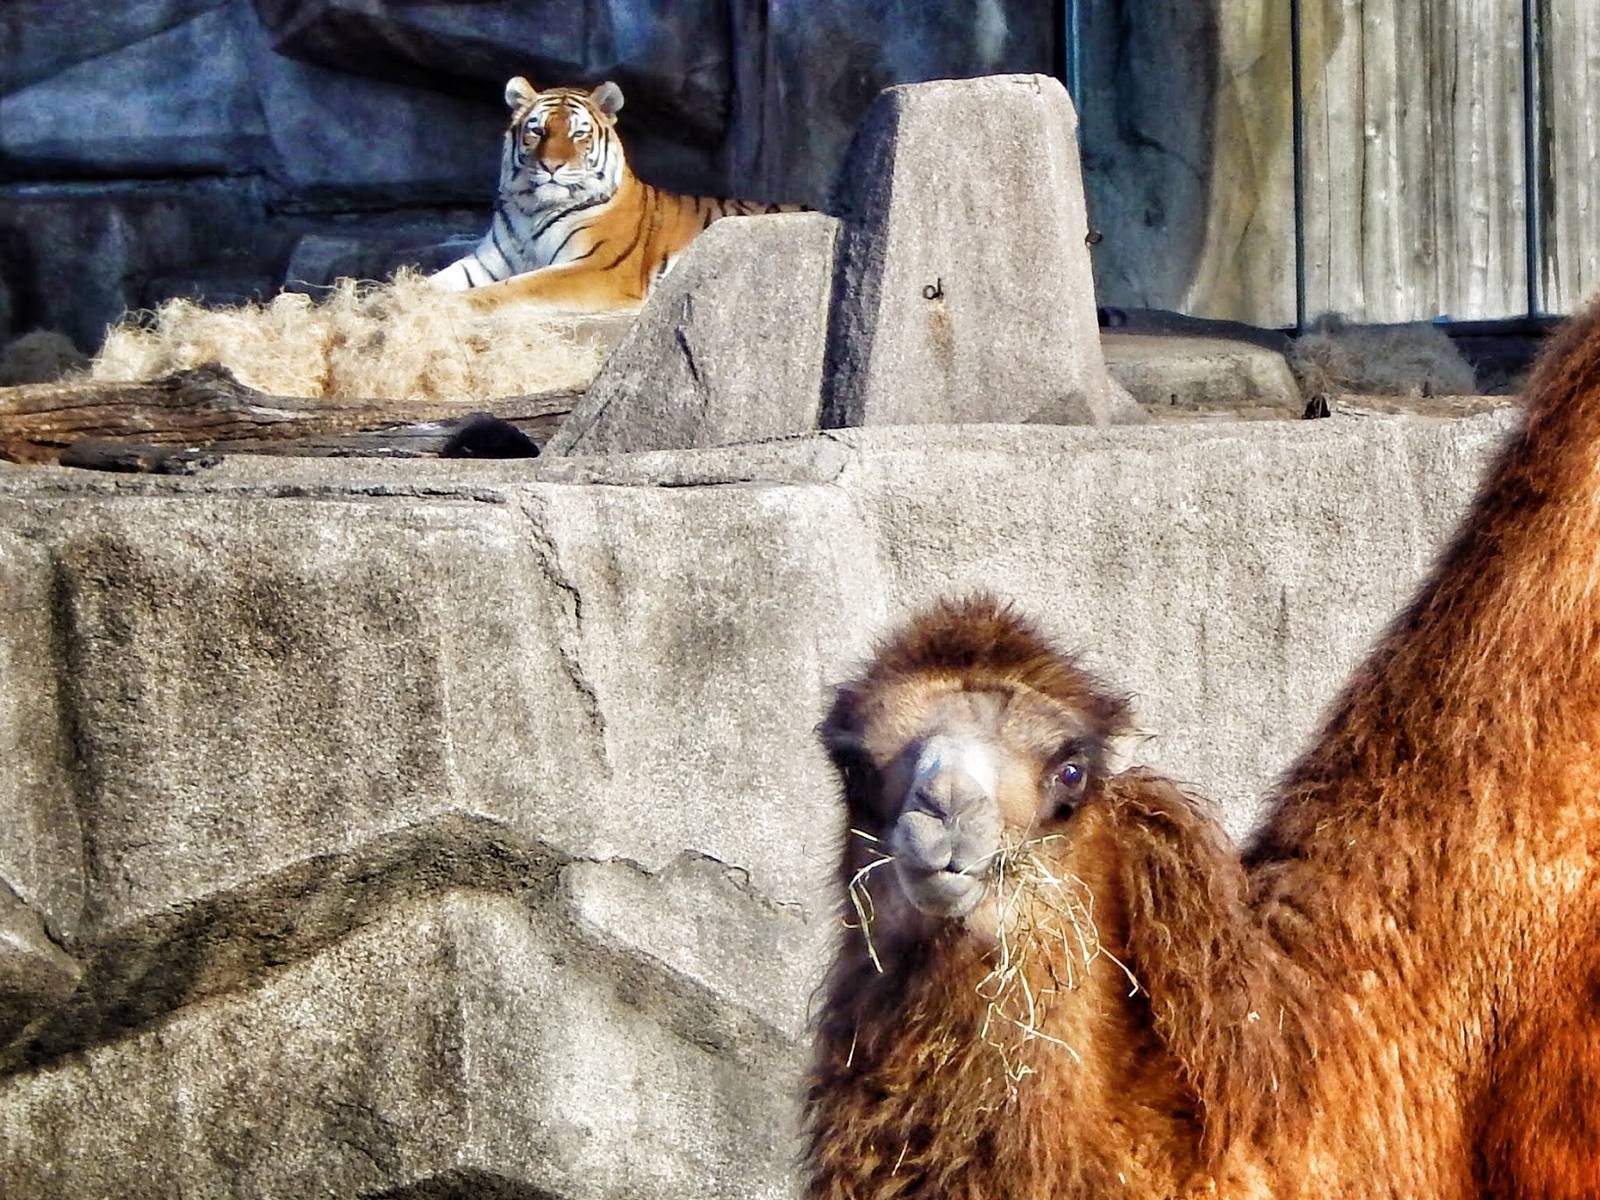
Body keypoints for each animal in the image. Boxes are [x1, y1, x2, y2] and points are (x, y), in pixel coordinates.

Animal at [432, 78, 806, 311]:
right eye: (537, 131)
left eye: (578, 133)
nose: (551, 165)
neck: (532, 209)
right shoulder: (487, 261)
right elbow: (440, 279)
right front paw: (417, 298)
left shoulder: (598, 267)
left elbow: (519, 287)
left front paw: (457, 305)